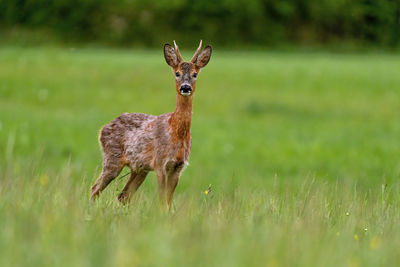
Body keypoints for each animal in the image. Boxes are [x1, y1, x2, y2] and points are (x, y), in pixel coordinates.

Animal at [90, 40, 212, 207]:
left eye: (195, 74)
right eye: (177, 73)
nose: (185, 87)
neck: (176, 132)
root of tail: (103, 129)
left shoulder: (178, 166)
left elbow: (168, 202)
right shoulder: (160, 163)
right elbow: (161, 201)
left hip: (139, 169)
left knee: (123, 196)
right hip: (112, 158)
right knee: (95, 189)